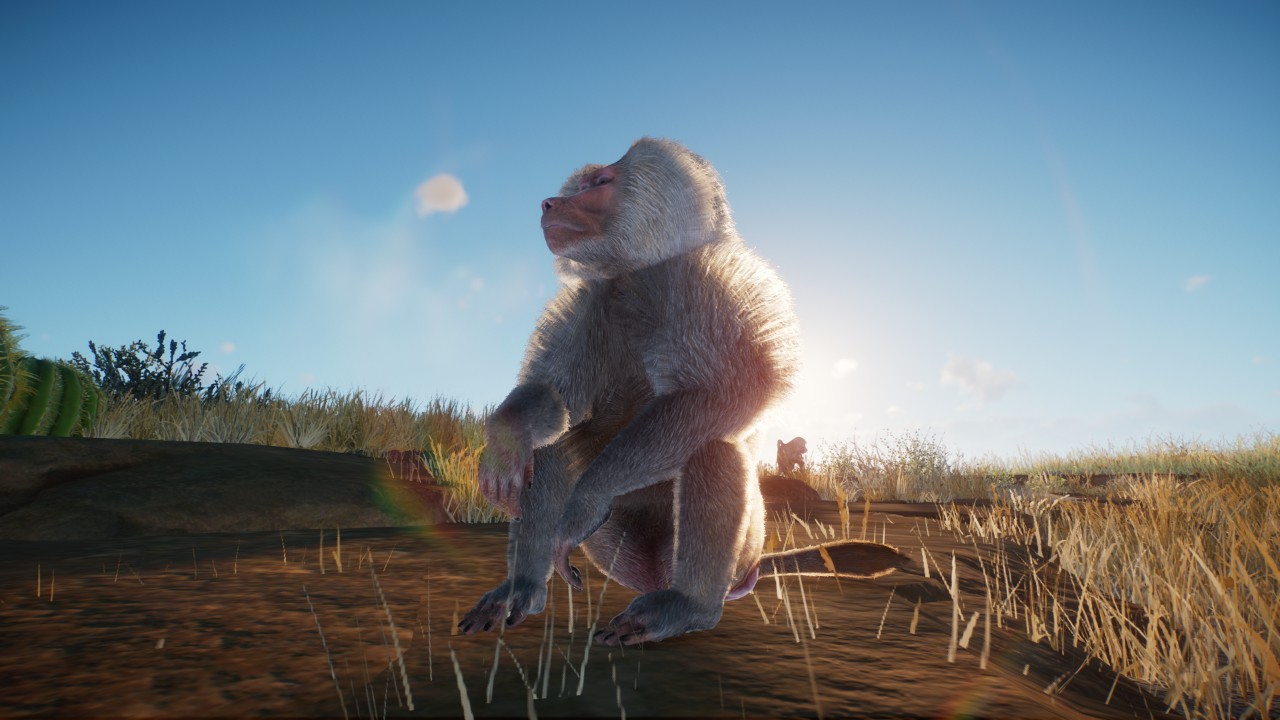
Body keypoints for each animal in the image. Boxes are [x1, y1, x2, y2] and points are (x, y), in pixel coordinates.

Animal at [458, 138, 907, 646]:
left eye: (601, 183)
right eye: (580, 185)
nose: (549, 203)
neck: (637, 275)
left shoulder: (710, 288)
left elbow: (721, 395)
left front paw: (585, 500)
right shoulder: (586, 305)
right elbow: (554, 401)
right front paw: (504, 442)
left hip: (740, 547)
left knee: (711, 443)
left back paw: (686, 606)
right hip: (616, 551)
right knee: (550, 447)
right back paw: (524, 588)